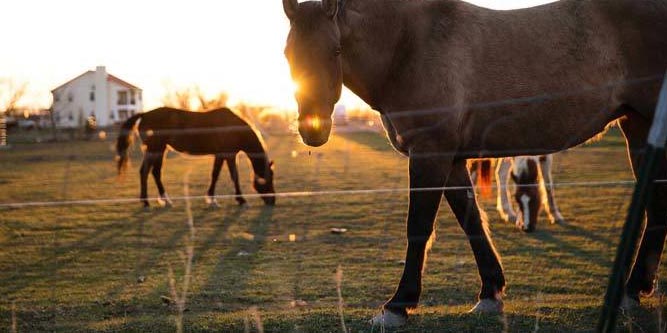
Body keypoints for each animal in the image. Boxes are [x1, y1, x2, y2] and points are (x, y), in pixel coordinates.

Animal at [116, 107, 276, 208]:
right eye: (268, 179)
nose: (272, 200)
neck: (232, 128)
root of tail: (145, 114)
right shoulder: (228, 155)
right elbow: (232, 176)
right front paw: (240, 200)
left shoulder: (222, 155)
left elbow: (215, 175)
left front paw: (212, 199)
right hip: (155, 149)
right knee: (146, 171)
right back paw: (146, 202)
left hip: (159, 150)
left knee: (154, 172)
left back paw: (164, 200)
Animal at [282, 0, 667, 324]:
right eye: (287, 54)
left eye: (335, 49)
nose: (313, 129)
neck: (409, 48)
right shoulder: (452, 160)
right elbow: (472, 222)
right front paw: (490, 292)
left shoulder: (430, 154)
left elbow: (419, 227)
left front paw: (398, 305)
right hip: (638, 128)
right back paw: (634, 289)